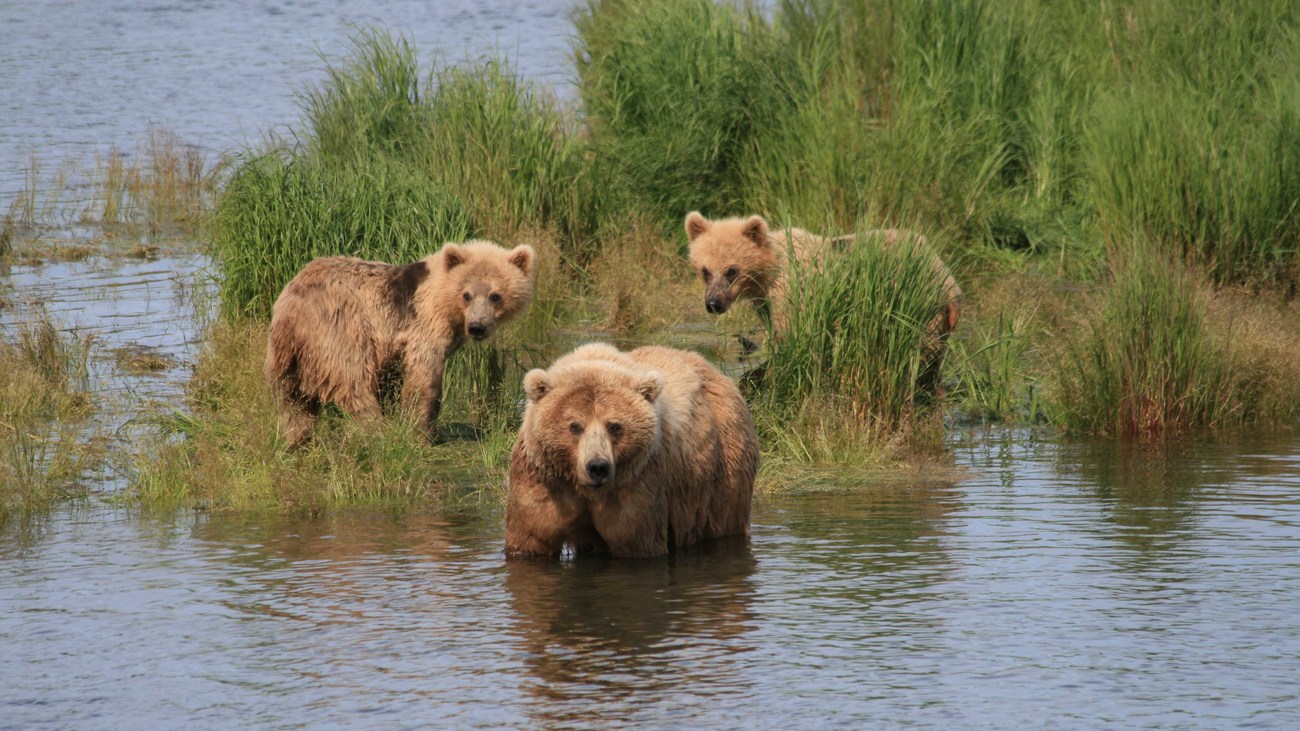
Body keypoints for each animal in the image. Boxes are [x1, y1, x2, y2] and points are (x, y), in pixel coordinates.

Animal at [262, 240, 533, 444]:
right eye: (467, 294)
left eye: (495, 295)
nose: (477, 327)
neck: (445, 304)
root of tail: (292, 305)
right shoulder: (423, 326)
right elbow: (424, 378)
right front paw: (424, 431)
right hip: (340, 327)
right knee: (353, 379)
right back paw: (375, 426)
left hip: (287, 351)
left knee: (292, 397)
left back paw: (298, 436)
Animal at [499, 340, 759, 556]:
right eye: (575, 426)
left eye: (614, 426)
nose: (597, 467)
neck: (583, 488)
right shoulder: (544, 480)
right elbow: (530, 538)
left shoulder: (638, 484)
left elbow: (636, 543)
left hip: (724, 470)